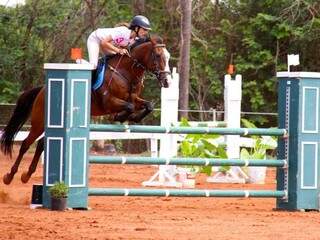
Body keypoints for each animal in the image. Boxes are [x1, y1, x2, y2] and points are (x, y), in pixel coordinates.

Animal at [0, 35, 170, 185]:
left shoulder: (134, 98)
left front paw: (132, 118)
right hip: (39, 122)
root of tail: (43, 89)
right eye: (157, 55)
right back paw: (10, 176)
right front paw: (120, 117)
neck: (126, 72)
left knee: (41, 143)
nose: (167, 81)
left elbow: (148, 105)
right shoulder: (109, 102)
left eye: (168, 57)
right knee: (26, 144)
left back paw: (27, 175)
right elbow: (128, 107)